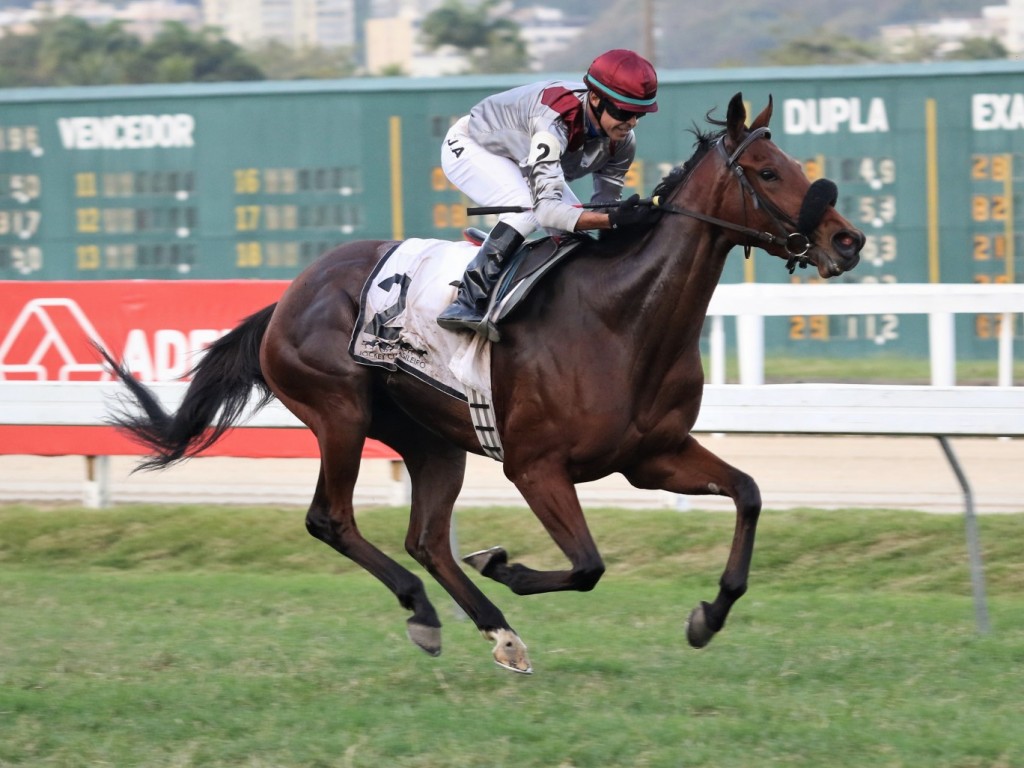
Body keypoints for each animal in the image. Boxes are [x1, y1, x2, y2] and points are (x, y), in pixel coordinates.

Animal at [103, 94, 860, 671]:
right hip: (340, 413)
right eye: (767, 171)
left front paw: (709, 614)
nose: (847, 241)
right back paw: (426, 610)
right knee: (333, 519)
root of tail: (289, 296)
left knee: (427, 539)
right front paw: (505, 563)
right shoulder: (536, 466)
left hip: (433, 439)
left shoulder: (653, 457)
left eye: (797, 166)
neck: (623, 319)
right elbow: (588, 565)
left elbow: (748, 494)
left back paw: (495, 630)